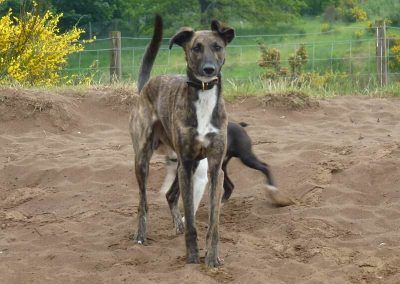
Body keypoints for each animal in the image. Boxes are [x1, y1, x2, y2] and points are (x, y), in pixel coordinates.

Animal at [128, 14, 234, 268]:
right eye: (196, 47)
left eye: (218, 47)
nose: (209, 69)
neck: (204, 95)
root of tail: (146, 86)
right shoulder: (186, 165)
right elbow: (192, 223)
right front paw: (193, 257)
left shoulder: (214, 168)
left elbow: (213, 222)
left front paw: (212, 257)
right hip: (143, 160)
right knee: (143, 202)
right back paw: (140, 236)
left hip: (184, 164)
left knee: (169, 195)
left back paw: (177, 225)